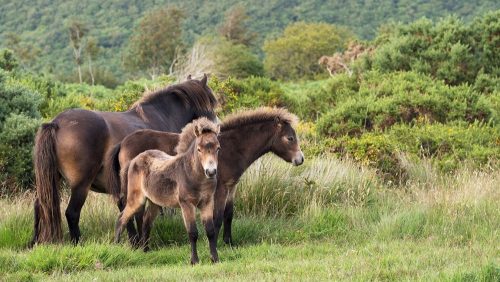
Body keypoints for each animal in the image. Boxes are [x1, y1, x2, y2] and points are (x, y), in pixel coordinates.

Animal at [31, 74, 217, 245]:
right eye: (211, 104)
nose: (215, 128)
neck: (163, 116)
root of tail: (56, 123)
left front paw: (133, 240)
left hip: (51, 180)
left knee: (40, 206)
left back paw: (35, 242)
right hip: (80, 185)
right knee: (71, 213)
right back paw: (77, 242)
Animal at [107, 108, 304, 249]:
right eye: (290, 138)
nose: (300, 159)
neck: (230, 149)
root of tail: (122, 143)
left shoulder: (231, 187)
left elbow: (228, 214)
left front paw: (229, 242)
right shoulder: (220, 189)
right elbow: (217, 217)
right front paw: (215, 243)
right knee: (133, 212)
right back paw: (136, 244)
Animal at [116, 117, 222, 264]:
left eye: (218, 148)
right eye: (199, 149)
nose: (211, 172)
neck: (194, 176)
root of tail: (135, 159)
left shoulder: (207, 202)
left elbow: (210, 231)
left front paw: (215, 259)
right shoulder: (186, 204)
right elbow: (193, 232)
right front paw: (194, 261)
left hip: (154, 202)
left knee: (146, 222)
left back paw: (145, 251)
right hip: (136, 199)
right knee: (122, 218)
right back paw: (115, 246)